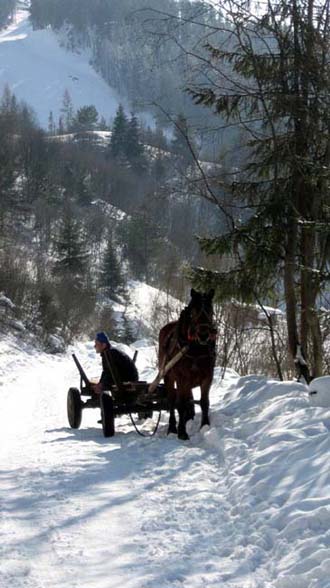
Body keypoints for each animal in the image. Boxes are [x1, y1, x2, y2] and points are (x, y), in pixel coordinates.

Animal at [158, 290, 217, 440]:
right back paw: (172, 428)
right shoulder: (182, 378)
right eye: (193, 312)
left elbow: (204, 402)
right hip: (168, 376)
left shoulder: (207, 377)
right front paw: (182, 432)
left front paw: (205, 426)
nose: (203, 335)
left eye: (210, 310)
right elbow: (180, 404)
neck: (195, 348)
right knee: (172, 401)